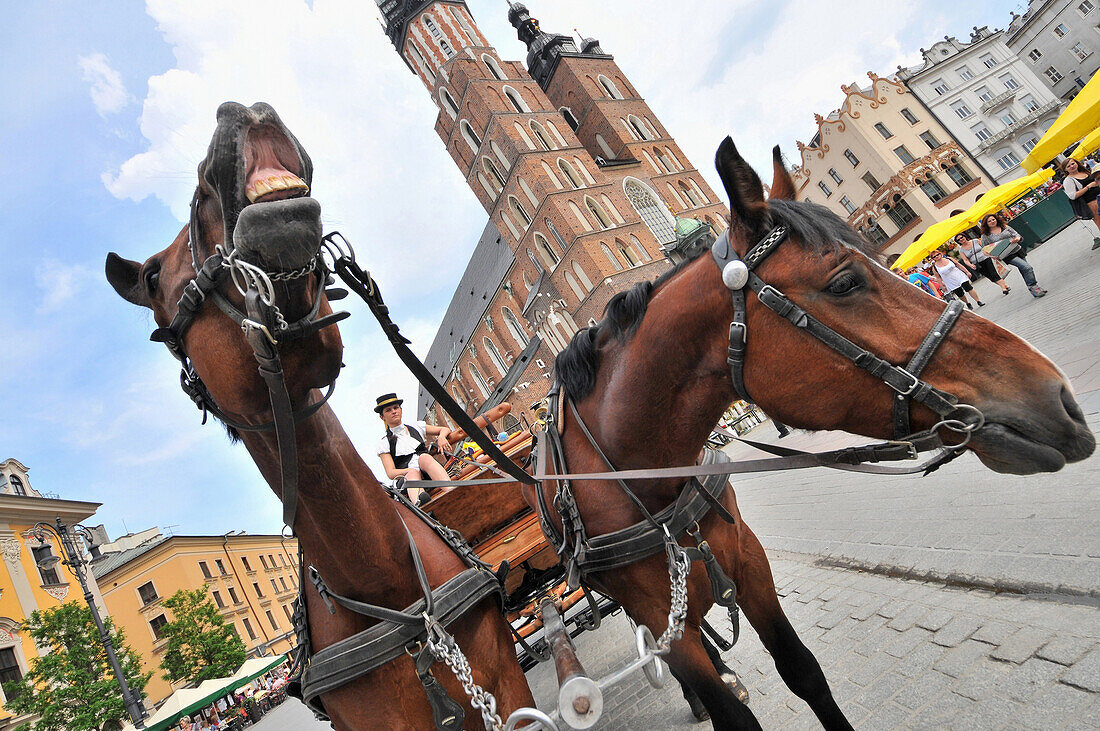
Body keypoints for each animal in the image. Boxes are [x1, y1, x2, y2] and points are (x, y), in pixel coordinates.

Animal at [532, 135, 1091, 725]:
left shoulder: (750, 563)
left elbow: (803, 671)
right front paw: (713, 695)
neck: (644, 473)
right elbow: (726, 707)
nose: (1058, 397)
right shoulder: (662, 617)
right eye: (844, 282)